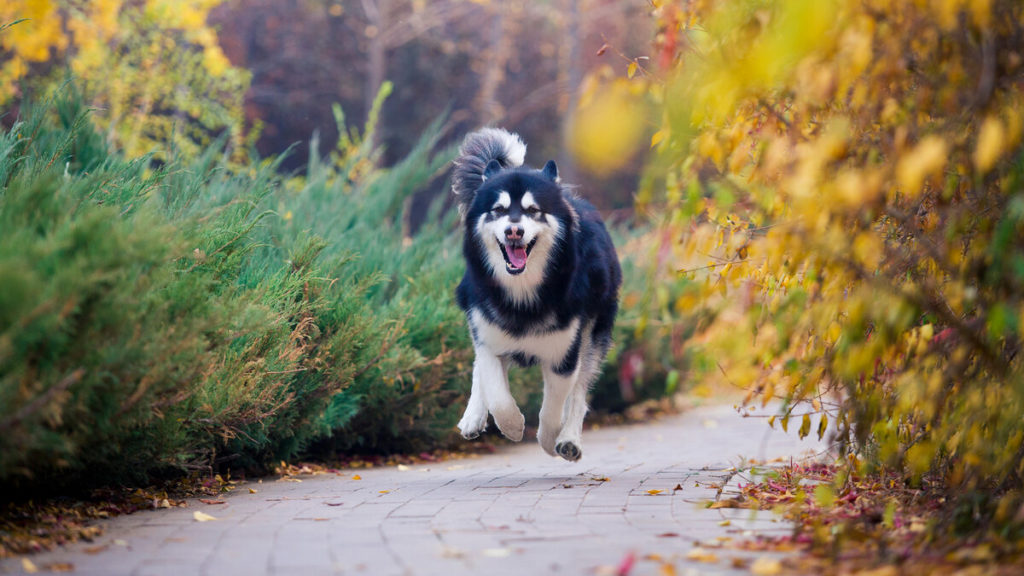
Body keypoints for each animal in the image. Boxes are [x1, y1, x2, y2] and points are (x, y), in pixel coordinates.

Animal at [450, 127, 622, 459]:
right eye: (499, 210)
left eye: (532, 211)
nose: (513, 231)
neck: (522, 293)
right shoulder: (490, 337)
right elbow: (496, 392)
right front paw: (512, 425)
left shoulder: (563, 355)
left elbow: (554, 408)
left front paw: (549, 440)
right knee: (479, 367)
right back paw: (473, 416)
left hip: (593, 333)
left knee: (579, 393)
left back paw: (569, 439)